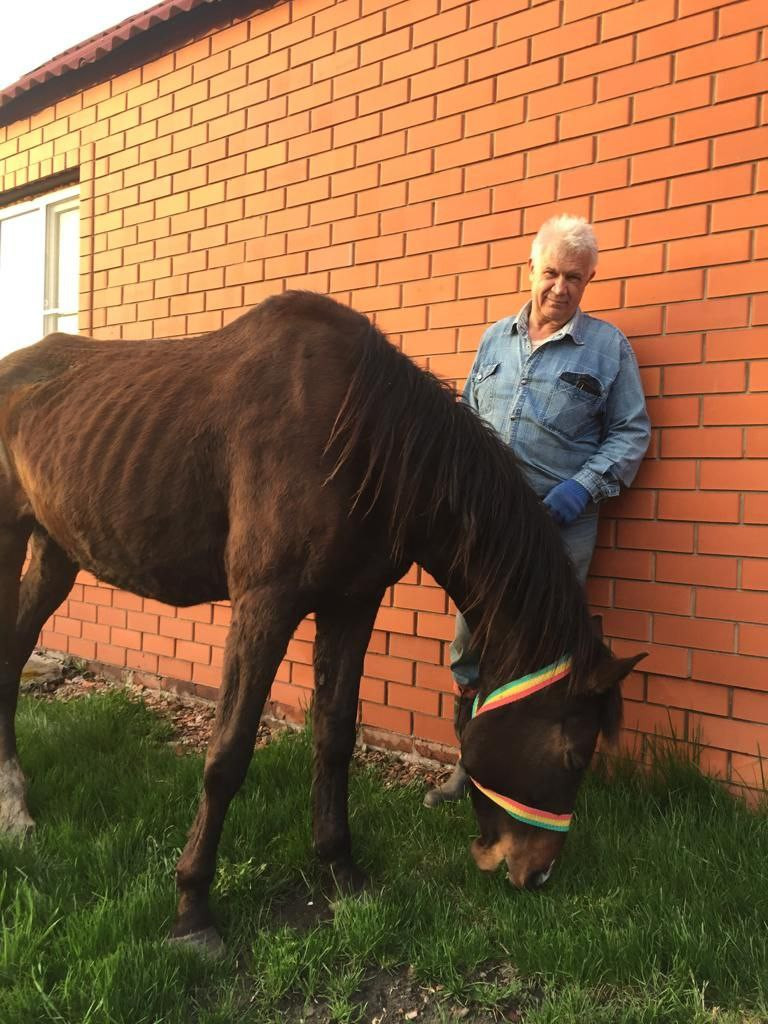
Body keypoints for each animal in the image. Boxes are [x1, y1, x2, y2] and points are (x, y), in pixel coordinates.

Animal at [0, 290, 643, 950]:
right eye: (573, 757)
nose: (536, 873)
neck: (361, 436)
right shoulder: (264, 604)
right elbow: (227, 754)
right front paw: (192, 907)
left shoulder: (351, 604)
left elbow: (334, 736)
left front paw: (338, 865)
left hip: (56, 550)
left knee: (13, 654)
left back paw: (14, 803)